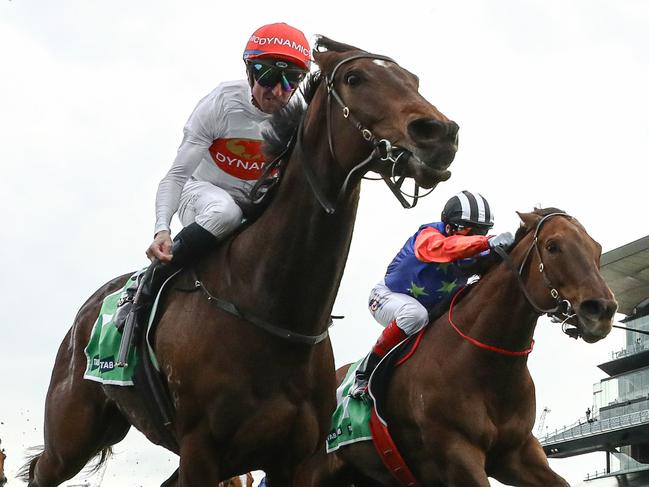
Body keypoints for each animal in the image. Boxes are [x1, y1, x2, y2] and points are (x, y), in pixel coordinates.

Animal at [19, 37, 456, 487]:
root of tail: (85, 312)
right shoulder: (201, 449)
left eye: (414, 80)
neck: (272, 308)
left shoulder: (295, 460)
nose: (439, 133)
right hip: (72, 433)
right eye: (355, 78)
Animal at [296, 210, 616, 487]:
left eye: (596, 247)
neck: (483, 364)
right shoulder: (455, 454)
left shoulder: (517, 453)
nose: (602, 310)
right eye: (553, 246)